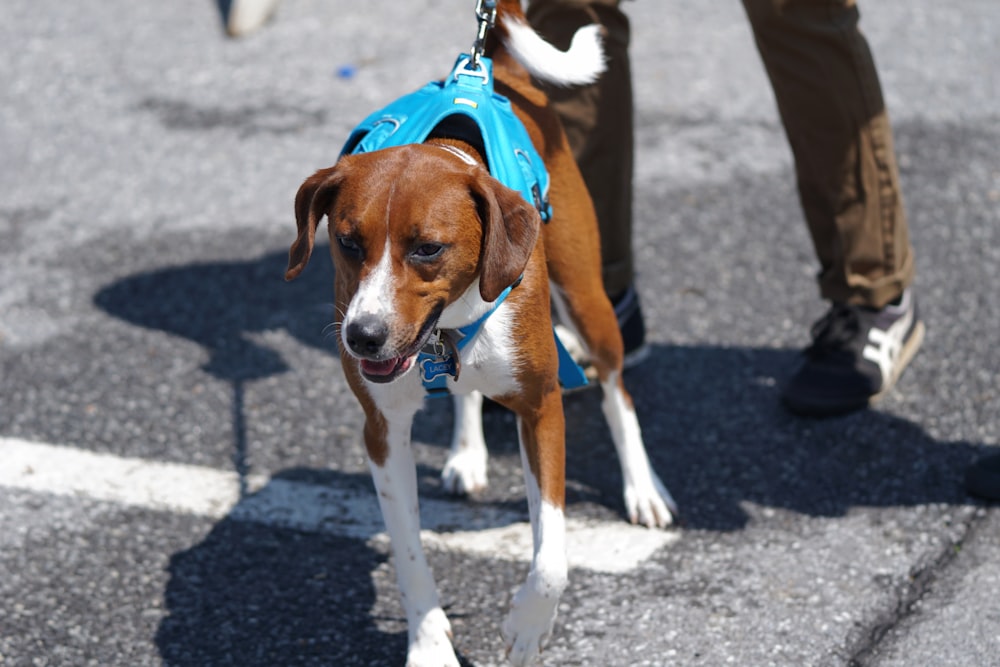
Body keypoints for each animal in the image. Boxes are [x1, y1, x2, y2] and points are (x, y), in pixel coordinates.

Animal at [290, 2, 680, 664]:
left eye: (427, 248)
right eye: (346, 242)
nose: (363, 336)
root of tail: (491, 68)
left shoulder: (542, 405)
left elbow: (551, 557)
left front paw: (527, 626)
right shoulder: (382, 430)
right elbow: (409, 555)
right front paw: (428, 643)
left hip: (588, 297)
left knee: (616, 388)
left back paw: (643, 486)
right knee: (467, 393)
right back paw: (466, 451)